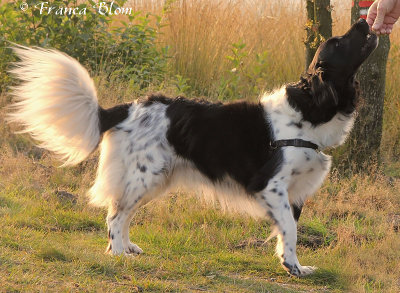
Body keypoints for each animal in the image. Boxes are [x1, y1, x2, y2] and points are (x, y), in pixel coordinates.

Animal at [9, 19, 378, 274]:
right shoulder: (272, 187)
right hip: (146, 176)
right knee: (115, 215)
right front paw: (292, 268)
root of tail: (127, 108)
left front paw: (294, 265)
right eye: (339, 41)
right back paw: (118, 255)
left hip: (155, 179)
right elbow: (288, 228)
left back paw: (128, 248)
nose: (364, 22)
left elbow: (290, 232)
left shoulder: (296, 191)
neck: (309, 110)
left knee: (124, 213)